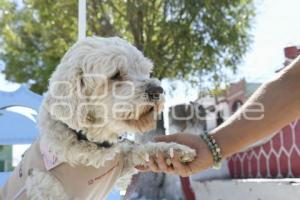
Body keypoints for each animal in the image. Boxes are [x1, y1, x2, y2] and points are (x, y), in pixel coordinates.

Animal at [0, 36, 195, 199]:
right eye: (116, 75)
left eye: (145, 71)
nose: (158, 90)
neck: (88, 141)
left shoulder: (120, 163)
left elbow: (142, 148)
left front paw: (176, 150)